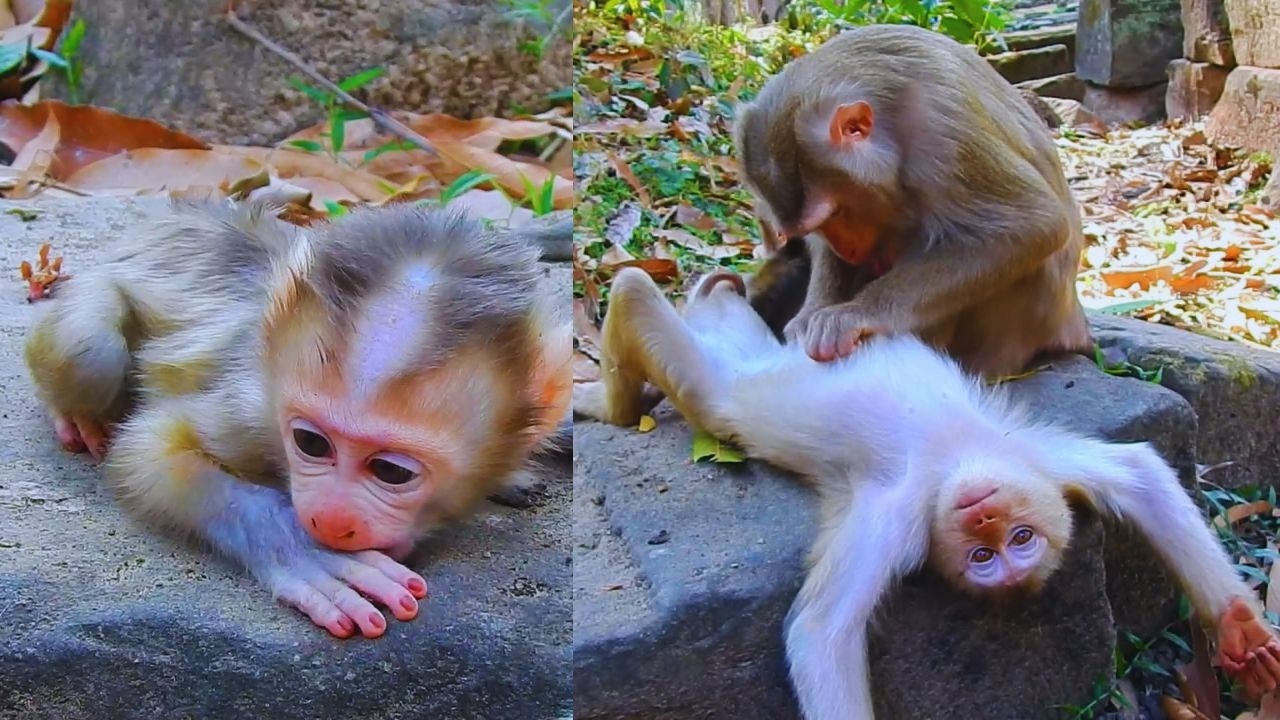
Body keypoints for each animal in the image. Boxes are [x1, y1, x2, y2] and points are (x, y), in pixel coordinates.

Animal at [24, 198, 572, 639]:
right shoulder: (252, 411)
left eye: (392, 471)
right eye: (311, 444)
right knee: (91, 351)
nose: (329, 520)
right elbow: (149, 450)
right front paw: (307, 553)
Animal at [573, 266, 1280, 719]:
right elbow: (1141, 471)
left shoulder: (911, 511)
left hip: (717, 382)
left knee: (648, 301)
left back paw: (619, 391)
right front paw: (1244, 628)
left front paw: (1238, 632)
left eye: (1011, 547)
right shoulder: (1028, 459)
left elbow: (820, 633)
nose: (985, 516)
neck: (953, 460)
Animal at [733, 24, 1092, 378]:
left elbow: (1034, 222)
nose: (847, 249)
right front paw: (810, 315)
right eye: (823, 224)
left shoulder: (942, 134)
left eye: (837, 213)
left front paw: (856, 314)